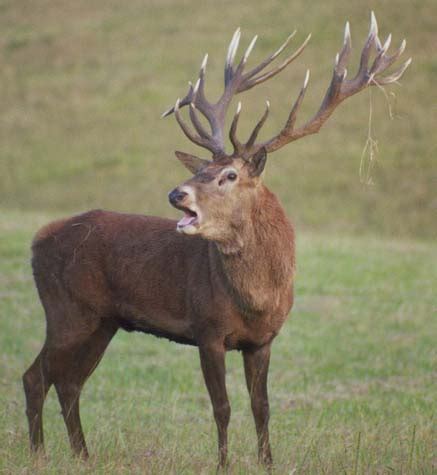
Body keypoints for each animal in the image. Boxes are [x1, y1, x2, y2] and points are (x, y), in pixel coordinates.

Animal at [23, 13, 408, 470]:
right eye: (200, 169)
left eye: (229, 175)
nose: (176, 194)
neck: (256, 299)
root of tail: (37, 240)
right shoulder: (207, 329)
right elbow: (221, 406)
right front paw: (224, 464)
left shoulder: (263, 340)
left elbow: (262, 406)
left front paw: (267, 463)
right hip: (67, 310)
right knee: (38, 376)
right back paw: (40, 454)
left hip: (102, 320)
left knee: (67, 382)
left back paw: (81, 455)